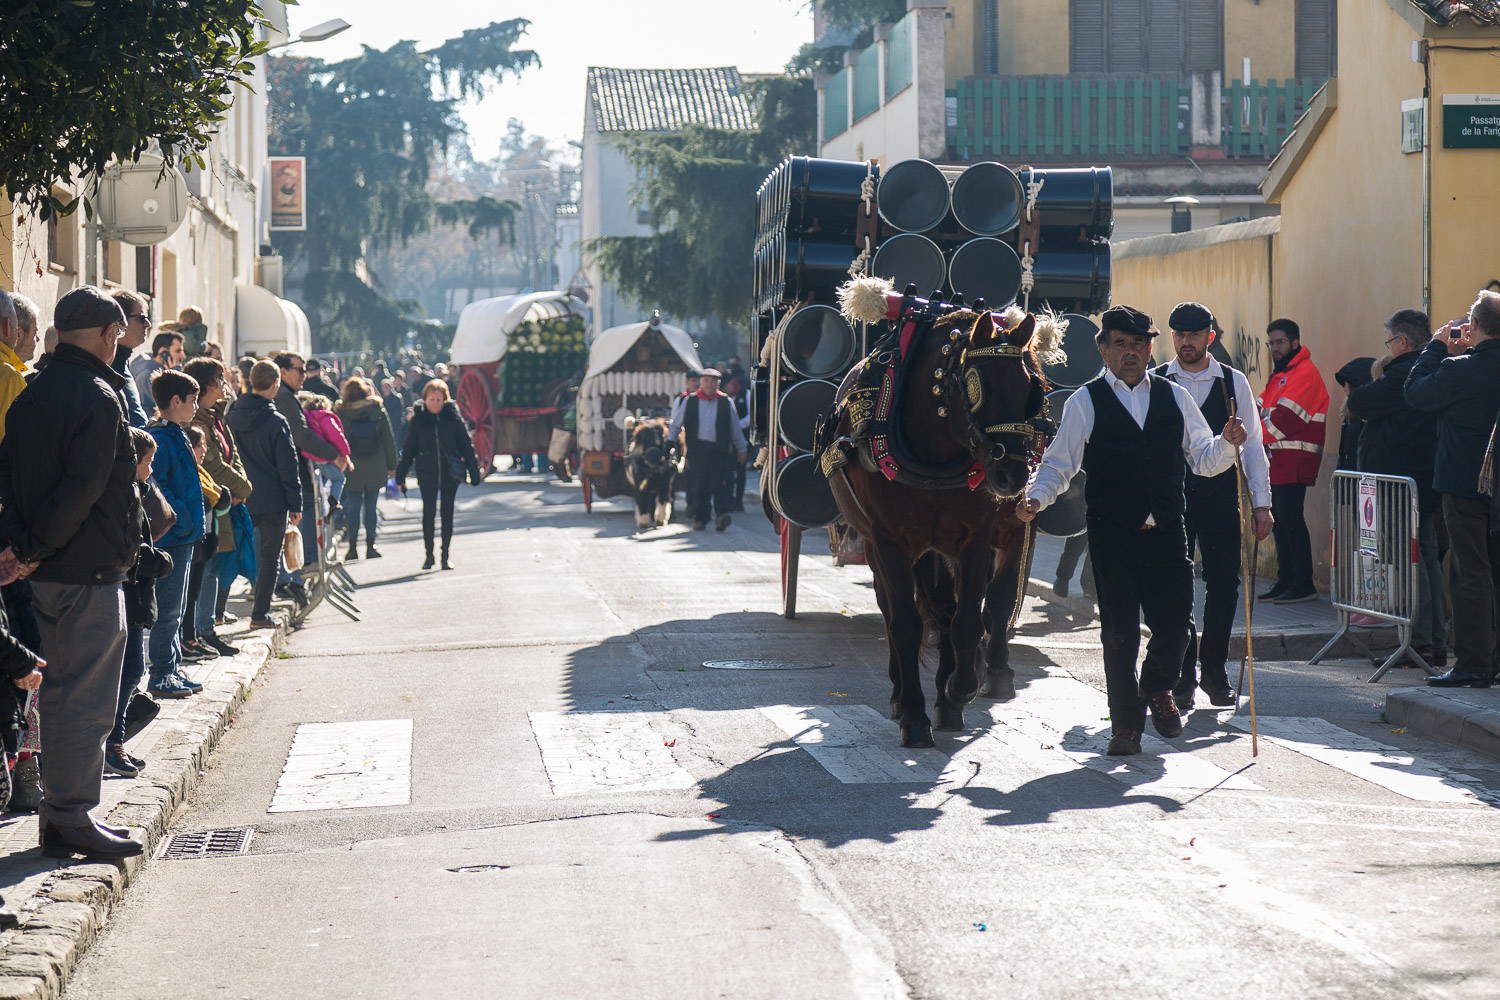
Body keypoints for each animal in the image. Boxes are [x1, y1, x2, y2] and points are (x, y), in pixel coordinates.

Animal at [828, 293, 1050, 746]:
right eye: (978, 386)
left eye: (1032, 390)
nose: (1013, 475)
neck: (933, 452)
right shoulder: (890, 542)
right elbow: (905, 624)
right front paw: (914, 714)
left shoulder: (977, 538)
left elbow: (969, 619)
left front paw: (959, 690)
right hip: (879, 547)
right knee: (892, 611)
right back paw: (901, 695)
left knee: (950, 611)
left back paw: (952, 696)